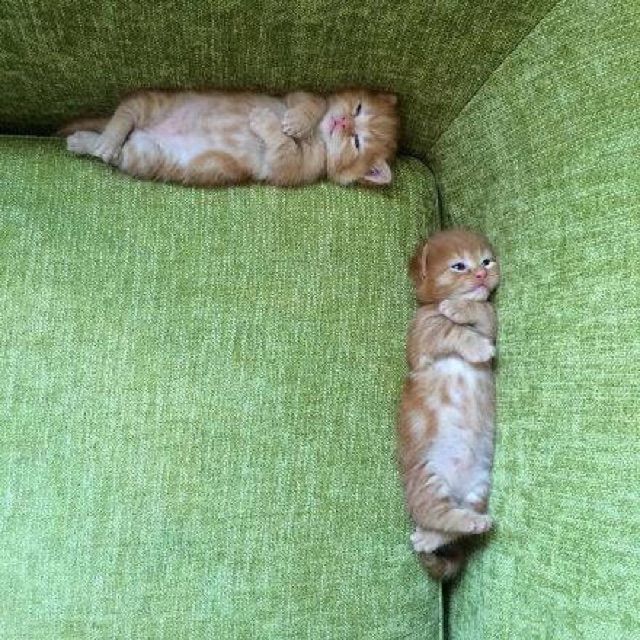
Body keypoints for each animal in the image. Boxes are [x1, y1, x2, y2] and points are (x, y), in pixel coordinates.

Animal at [61, 89, 398, 187]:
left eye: (357, 142)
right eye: (357, 108)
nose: (342, 122)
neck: (319, 136)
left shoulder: (287, 168)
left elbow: (283, 146)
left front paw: (265, 121)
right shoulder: (296, 95)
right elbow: (311, 103)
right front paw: (295, 121)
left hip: (145, 154)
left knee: (121, 150)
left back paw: (84, 141)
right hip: (155, 101)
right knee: (125, 111)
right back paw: (106, 138)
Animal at [397, 229, 500, 580]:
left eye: (486, 260)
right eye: (459, 266)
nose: (481, 274)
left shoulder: (488, 322)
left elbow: (484, 313)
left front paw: (460, 308)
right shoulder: (422, 335)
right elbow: (448, 328)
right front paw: (472, 340)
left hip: (479, 487)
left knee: (453, 529)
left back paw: (450, 531)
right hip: (428, 482)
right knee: (437, 516)